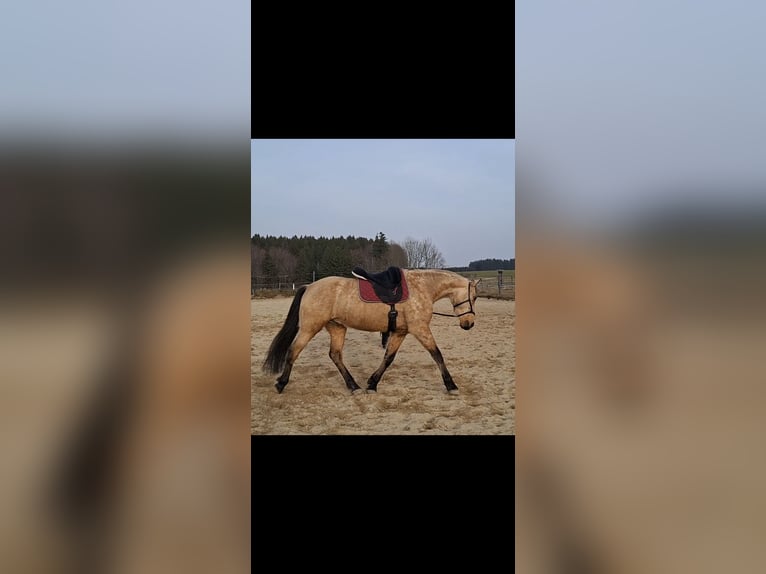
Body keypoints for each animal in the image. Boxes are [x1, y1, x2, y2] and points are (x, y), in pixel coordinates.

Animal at [262, 269, 481, 394]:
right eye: (475, 297)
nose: (469, 323)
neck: (422, 287)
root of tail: (309, 286)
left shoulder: (400, 332)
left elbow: (388, 358)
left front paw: (372, 383)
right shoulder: (420, 329)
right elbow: (437, 355)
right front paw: (451, 386)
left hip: (337, 327)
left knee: (335, 355)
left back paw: (354, 386)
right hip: (310, 328)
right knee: (293, 351)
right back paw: (281, 384)